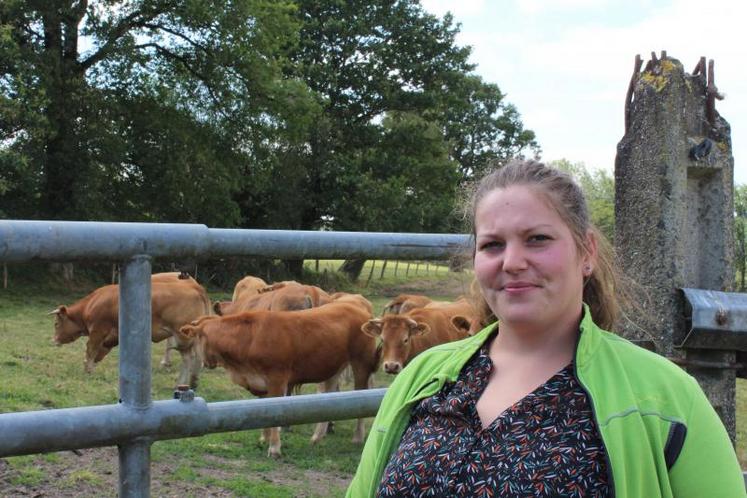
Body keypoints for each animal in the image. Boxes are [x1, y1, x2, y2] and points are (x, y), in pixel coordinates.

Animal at [50, 278, 212, 388]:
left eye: (56, 324)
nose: (54, 340)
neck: (93, 303)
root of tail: (194, 287)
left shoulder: (98, 330)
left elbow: (91, 351)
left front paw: (88, 371)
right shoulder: (112, 337)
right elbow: (99, 354)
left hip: (182, 336)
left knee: (189, 358)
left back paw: (182, 383)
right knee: (196, 358)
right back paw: (191, 382)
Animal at [177, 302, 380, 458]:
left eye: (196, 340)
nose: (205, 363)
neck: (249, 338)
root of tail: (356, 307)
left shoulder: (277, 378)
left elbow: (276, 414)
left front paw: (274, 448)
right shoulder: (259, 382)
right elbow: (265, 412)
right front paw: (264, 439)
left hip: (361, 363)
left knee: (362, 395)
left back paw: (358, 437)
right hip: (332, 368)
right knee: (329, 397)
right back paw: (317, 437)